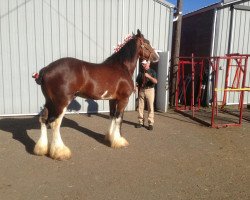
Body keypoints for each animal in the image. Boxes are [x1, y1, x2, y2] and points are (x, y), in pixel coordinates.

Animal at [32, 28, 159, 160]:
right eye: (147, 43)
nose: (156, 57)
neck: (122, 67)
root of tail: (46, 70)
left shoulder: (112, 99)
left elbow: (112, 116)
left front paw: (110, 138)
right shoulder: (123, 99)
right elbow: (119, 119)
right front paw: (119, 141)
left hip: (49, 101)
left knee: (43, 119)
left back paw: (41, 149)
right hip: (61, 103)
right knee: (55, 123)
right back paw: (60, 152)